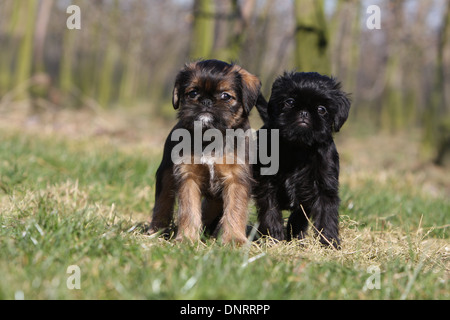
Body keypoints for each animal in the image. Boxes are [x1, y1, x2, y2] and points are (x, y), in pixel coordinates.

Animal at [149, 59, 260, 245]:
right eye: (193, 93)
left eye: (225, 96)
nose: (206, 101)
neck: (211, 138)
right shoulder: (188, 176)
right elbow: (188, 210)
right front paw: (187, 239)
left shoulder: (236, 178)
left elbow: (235, 209)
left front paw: (234, 239)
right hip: (166, 174)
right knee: (163, 203)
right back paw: (156, 230)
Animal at [255, 72, 350, 248]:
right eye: (290, 102)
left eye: (322, 109)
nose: (304, 112)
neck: (299, 148)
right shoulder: (266, 185)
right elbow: (270, 211)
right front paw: (274, 237)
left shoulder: (324, 187)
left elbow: (326, 216)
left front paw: (329, 243)